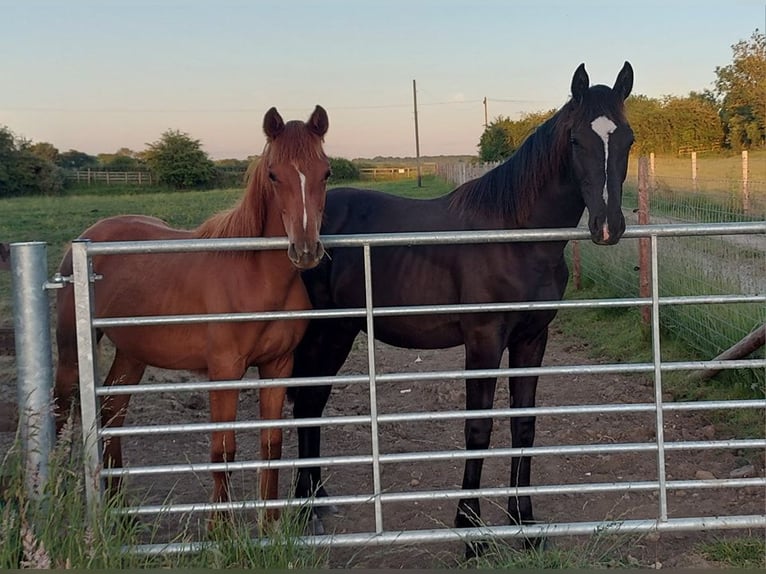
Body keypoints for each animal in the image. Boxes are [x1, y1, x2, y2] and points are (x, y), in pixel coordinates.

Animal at [54, 106, 330, 520]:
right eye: (273, 174)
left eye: (325, 172)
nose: (306, 250)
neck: (254, 276)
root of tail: (86, 239)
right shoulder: (225, 371)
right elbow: (223, 450)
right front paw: (220, 528)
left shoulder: (278, 365)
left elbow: (271, 445)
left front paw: (271, 525)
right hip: (72, 348)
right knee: (59, 410)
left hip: (132, 354)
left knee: (113, 412)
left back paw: (121, 510)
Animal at [288, 63, 636, 552]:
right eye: (575, 140)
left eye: (628, 140)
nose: (608, 227)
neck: (514, 237)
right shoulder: (484, 340)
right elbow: (478, 427)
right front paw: (470, 530)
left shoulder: (532, 338)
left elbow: (523, 426)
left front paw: (524, 523)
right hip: (326, 331)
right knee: (306, 402)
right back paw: (306, 510)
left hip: (339, 331)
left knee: (312, 403)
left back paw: (317, 502)